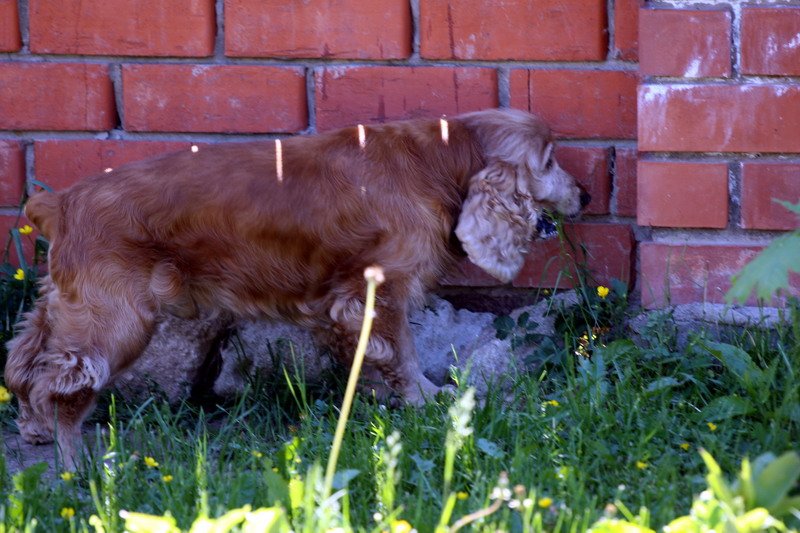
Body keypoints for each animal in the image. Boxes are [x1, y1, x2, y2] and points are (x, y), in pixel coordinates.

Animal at [1, 109, 588, 466]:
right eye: (549, 161)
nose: (583, 193)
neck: (439, 161)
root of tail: (61, 202)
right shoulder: (377, 293)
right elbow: (402, 351)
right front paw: (425, 398)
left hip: (65, 304)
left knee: (24, 362)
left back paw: (33, 429)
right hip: (118, 318)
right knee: (61, 379)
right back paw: (74, 460)